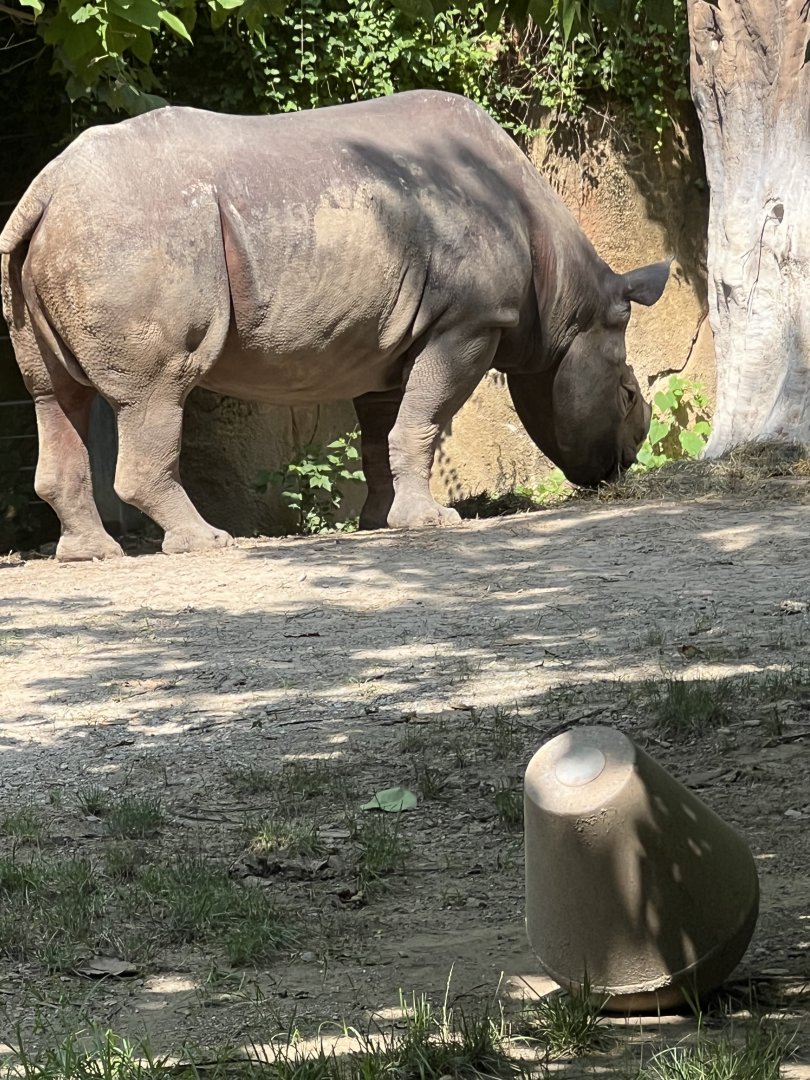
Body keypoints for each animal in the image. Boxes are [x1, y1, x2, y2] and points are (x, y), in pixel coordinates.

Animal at [0, 90, 668, 562]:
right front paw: (432, 523)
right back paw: (206, 542)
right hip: (135, 234)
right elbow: (425, 420)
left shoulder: (394, 341)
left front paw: (380, 522)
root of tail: (45, 189)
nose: (625, 463)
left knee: (56, 395)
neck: (567, 298)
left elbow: (383, 430)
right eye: (628, 395)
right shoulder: (468, 324)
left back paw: (89, 555)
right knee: (155, 392)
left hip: (74, 238)